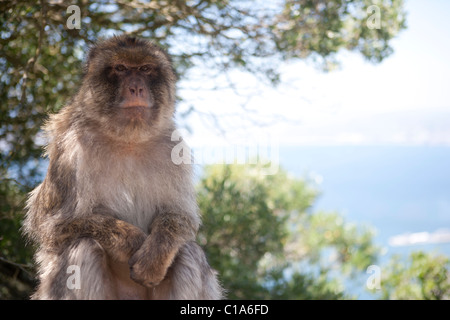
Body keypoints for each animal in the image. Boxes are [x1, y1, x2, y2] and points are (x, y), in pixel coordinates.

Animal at [22, 35, 223, 300]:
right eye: (120, 69)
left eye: (145, 69)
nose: (136, 88)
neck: (128, 141)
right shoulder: (71, 153)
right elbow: (51, 228)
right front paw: (130, 240)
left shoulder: (173, 149)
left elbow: (181, 219)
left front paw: (155, 254)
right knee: (83, 246)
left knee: (190, 251)